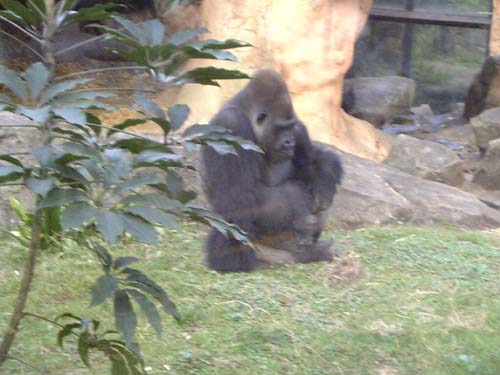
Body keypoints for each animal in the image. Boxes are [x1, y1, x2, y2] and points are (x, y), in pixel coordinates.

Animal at [199, 69, 344, 272]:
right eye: (280, 128)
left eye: (289, 127)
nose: (289, 141)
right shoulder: (230, 125)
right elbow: (237, 197)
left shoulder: (299, 128)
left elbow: (312, 163)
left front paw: (324, 180)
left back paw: (312, 253)